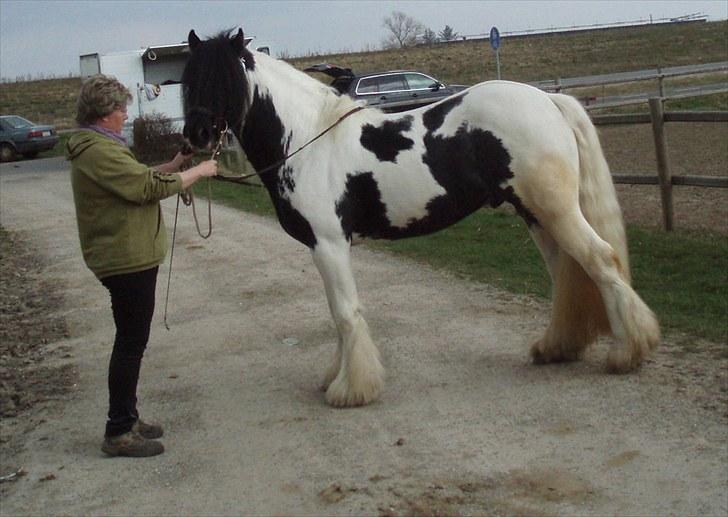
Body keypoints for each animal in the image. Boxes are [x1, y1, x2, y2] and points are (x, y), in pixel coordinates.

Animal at [182, 29, 660, 408]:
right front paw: (338, 376)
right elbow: (338, 316)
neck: (308, 140)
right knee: (567, 273)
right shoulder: (328, 248)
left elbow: (345, 313)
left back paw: (627, 352)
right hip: (537, 215)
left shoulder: (329, 243)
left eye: (226, 78)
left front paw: (352, 389)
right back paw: (557, 347)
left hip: (555, 211)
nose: (197, 135)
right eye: (189, 80)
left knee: (600, 260)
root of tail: (547, 99)